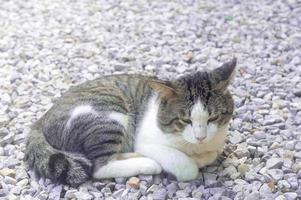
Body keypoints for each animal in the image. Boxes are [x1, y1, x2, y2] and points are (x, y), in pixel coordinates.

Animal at [24, 58, 236, 187]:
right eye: (185, 119)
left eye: (213, 118)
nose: (201, 137)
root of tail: (42, 118)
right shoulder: (146, 140)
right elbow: (187, 167)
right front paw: (190, 161)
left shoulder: (217, 140)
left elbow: (211, 153)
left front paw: (202, 156)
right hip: (110, 114)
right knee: (99, 166)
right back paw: (147, 162)